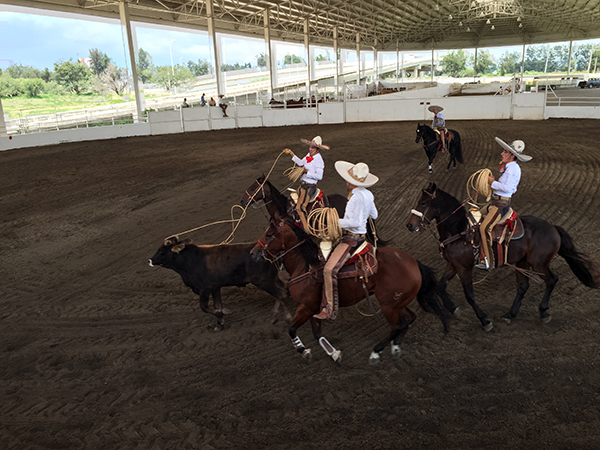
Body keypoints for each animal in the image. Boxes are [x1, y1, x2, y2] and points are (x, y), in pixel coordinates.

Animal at [248, 219, 446, 366]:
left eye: (269, 234)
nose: (253, 253)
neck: (306, 266)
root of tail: (414, 263)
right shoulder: (313, 308)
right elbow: (317, 334)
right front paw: (334, 353)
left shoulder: (306, 307)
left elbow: (291, 329)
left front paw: (304, 351)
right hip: (398, 303)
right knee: (409, 319)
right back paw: (395, 347)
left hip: (388, 305)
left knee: (398, 325)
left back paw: (376, 352)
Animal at [406, 182, 596, 330]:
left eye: (423, 202)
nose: (409, 225)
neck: (460, 231)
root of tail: (553, 227)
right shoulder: (453, 265)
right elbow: (440, 286)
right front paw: (454, 310)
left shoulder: (464, 268)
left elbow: (469, 295)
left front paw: (484, 321)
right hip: (522, 262)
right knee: (523, 286)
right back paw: (510, 314)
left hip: (539, 263)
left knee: (551, 280)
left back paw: (543, 312)